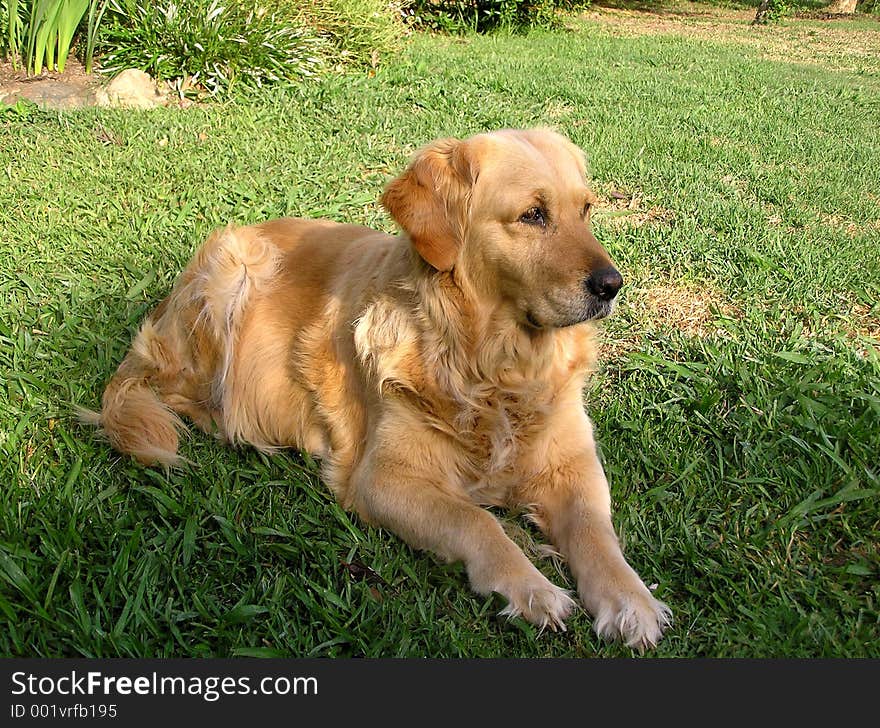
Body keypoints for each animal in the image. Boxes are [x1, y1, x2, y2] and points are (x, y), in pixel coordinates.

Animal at [84, 128, 672, 652]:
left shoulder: (573, 466)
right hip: (230, 279)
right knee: (182, 394)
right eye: (533, 214)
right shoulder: (383, 478)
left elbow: (597, 534)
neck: (493, 368)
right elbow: (477, 520)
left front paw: (631, 600)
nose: (611, 285)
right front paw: (531, 586)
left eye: (586, 210)